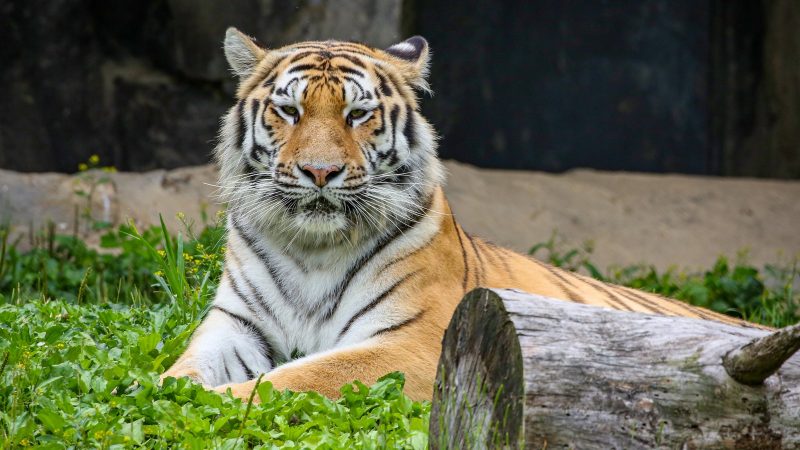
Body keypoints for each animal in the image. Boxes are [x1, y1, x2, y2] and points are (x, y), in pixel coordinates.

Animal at [161, 27, 755, 401]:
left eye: (357, 114)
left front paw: (218, 401)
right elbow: (179, 371)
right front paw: (159, 389)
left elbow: (294, 378)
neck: (313, 247)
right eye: (289, 110)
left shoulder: (415, 341)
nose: (320, 172)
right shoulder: (235, 326)